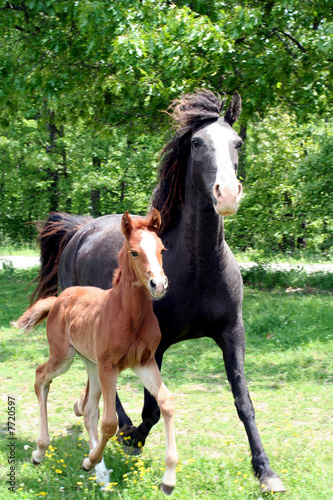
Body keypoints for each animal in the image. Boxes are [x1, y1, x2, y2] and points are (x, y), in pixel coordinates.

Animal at [13, 209, 176, 494]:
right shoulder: (110, 366)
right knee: (41, 376)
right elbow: (110, 422)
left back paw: (99, 473)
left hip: (90, 362)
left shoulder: (144, 363)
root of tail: (58, 299)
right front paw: (89, 461)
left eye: (161, 249)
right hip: (65, 357)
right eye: (134, 252)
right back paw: (40, 452)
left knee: (89, 410)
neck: (129, 315)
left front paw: (168, 479)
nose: (158, 284)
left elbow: (166, 402)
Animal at [32, 91, 284, 492]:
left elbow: (243, 401)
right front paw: (133, 437)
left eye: (238, 142)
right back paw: (116, 429)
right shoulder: (157, 343)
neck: (198, 266)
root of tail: (80, 229)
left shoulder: (232, 334)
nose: (227, 194)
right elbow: (150, 407)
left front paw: (265, 471)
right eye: (197, 143)